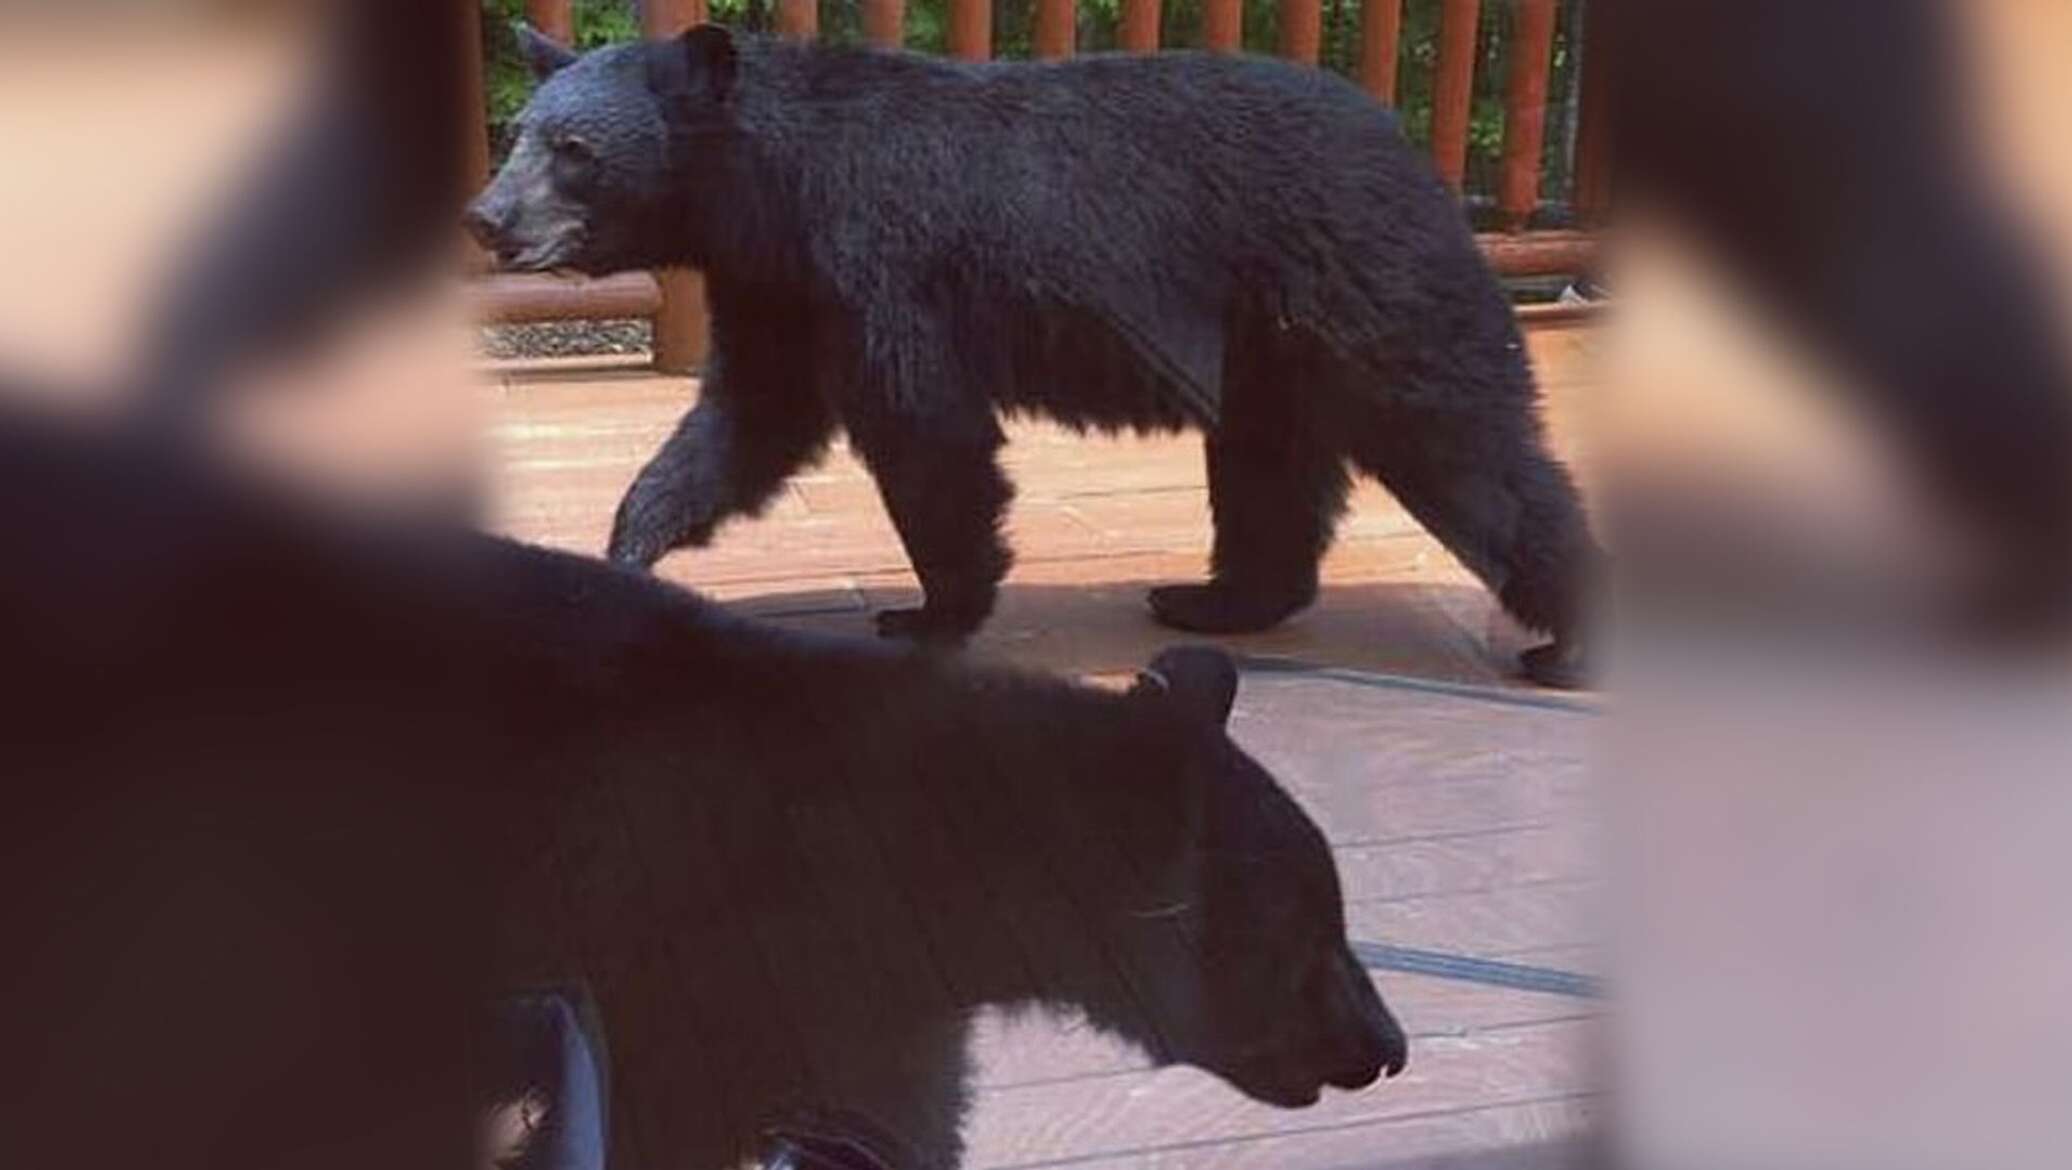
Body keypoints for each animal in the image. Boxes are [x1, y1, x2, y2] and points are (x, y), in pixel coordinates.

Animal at [474, 25, 1599, 683]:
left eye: (574, 151)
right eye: (517, 129)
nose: (487, 219)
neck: (772, 187)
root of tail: (1408, 150)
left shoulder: (881, 260)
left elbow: (927, 435)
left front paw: (930, 613)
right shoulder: (779, 286)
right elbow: (750, 418)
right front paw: (629, 545)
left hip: (1361, 288)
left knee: (1468, 448)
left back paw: (1571, 640)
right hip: (1266, 347)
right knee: (1269, 468)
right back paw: (1217, 598)